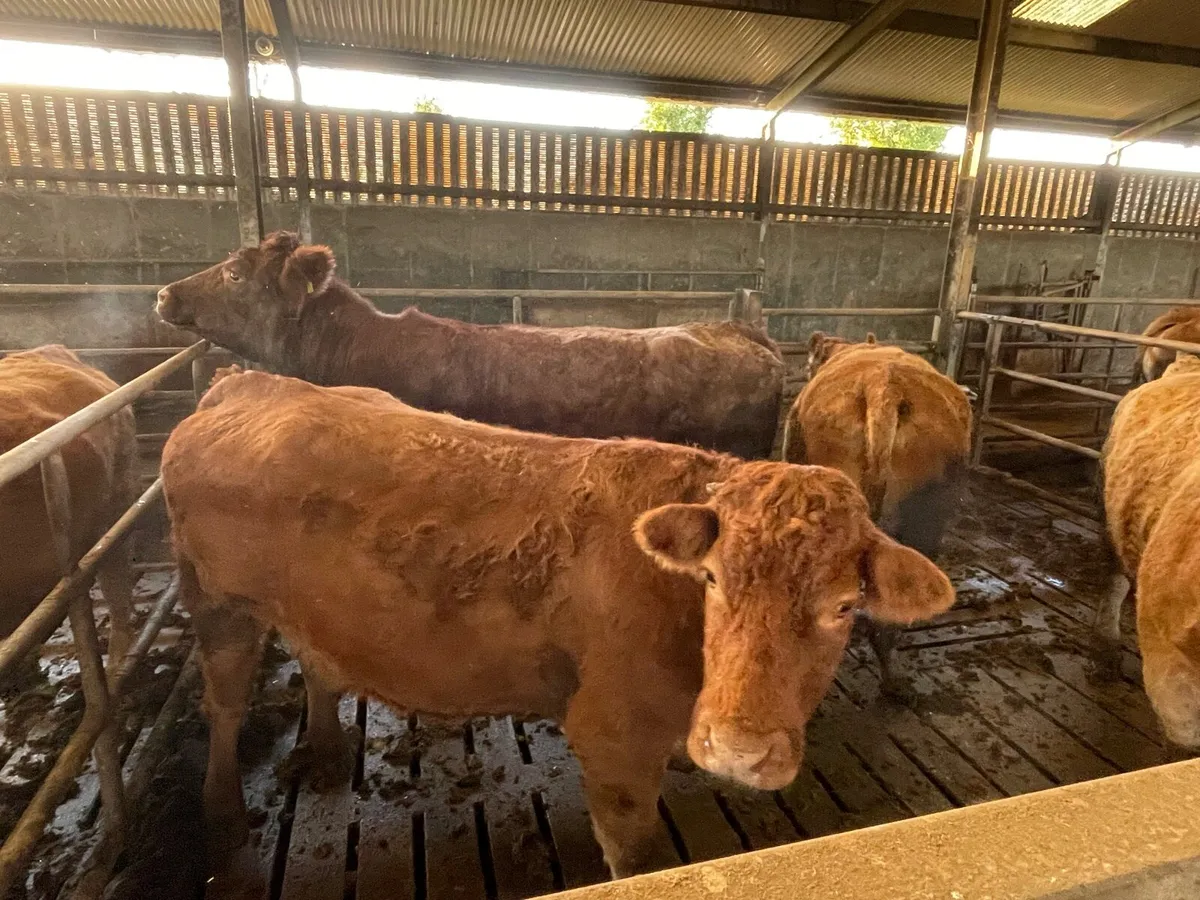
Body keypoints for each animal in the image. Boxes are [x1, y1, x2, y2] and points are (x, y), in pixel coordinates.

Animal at [162, 368, 954, 878]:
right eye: (711, 579)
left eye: (844, 606)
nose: (739, 749)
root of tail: (254, 382)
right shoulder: (611, 735)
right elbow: (634, 858)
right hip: (217, 603)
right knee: (224, 702)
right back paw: (224, 814)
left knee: (317, 660)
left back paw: (326, 751)